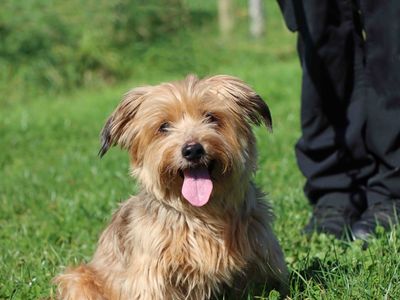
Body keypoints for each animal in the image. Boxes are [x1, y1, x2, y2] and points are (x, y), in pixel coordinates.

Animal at [55, 74, 288, 298]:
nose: (192, 150)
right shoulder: (150, 274)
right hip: (78, 279)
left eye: (211, 117)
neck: (202, 213)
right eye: (163, 126)